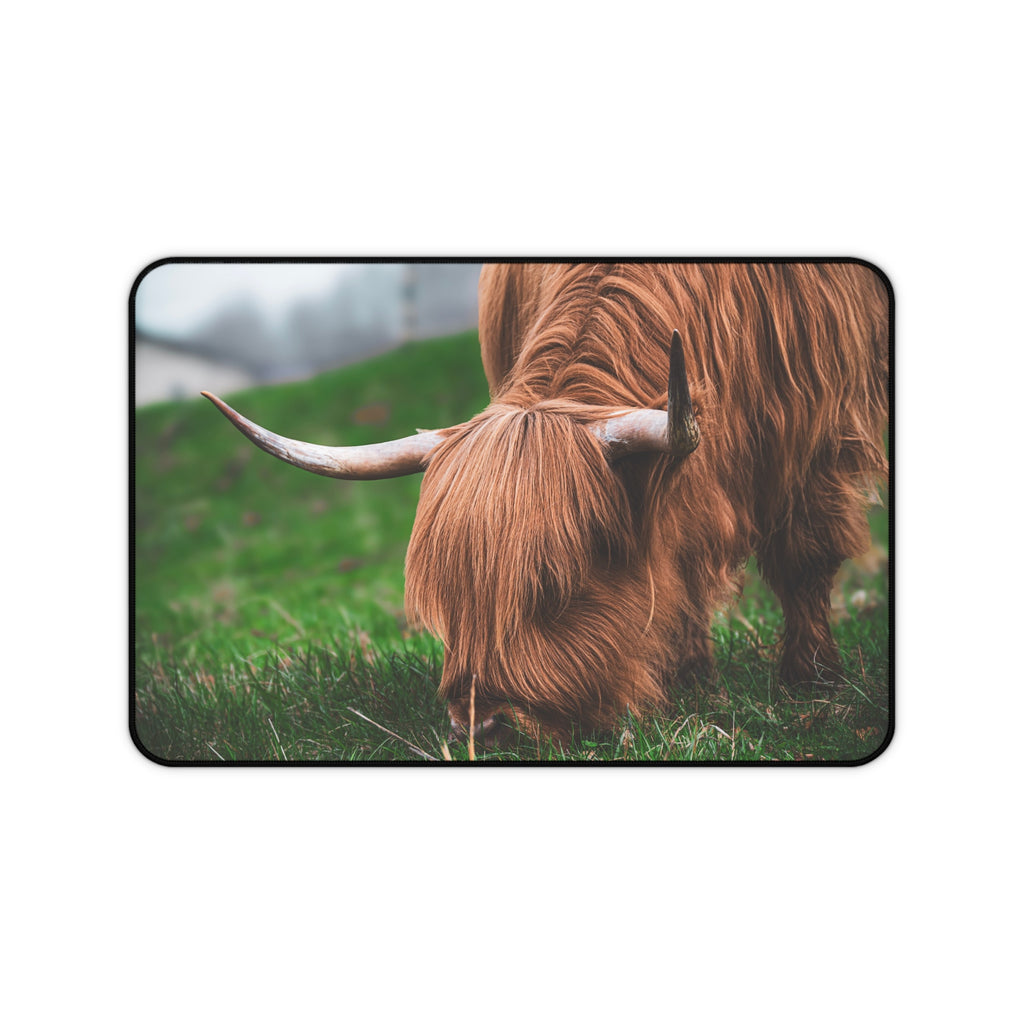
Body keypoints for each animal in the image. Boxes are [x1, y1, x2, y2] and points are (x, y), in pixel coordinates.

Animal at [203, 262, 889, 744]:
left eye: (556, 586)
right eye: (449, 593)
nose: (483, 728)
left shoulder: (816, 427)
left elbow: (801, 556)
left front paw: (811, 680)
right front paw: (693, 683)